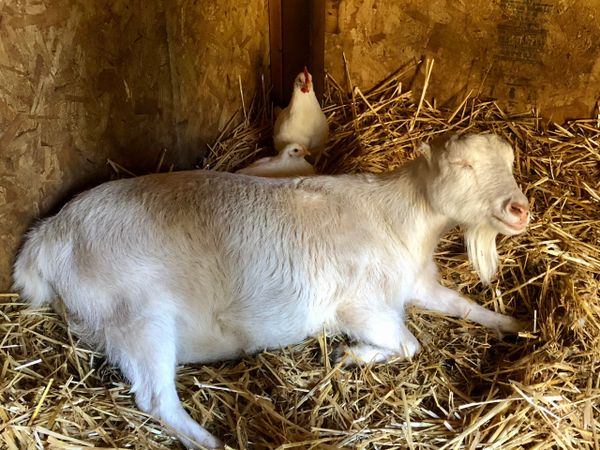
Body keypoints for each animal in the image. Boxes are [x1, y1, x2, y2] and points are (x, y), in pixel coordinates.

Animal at [14, 132, 528, 448]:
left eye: (510, 162)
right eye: (461, 164)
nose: (518, 209)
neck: (398, 217)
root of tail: (47, 238)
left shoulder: (418, 283)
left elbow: (461, 305)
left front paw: (514, 323)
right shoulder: (358, 306)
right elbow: (407, 344)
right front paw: (352, 355)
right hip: (138, 317)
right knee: (155, 398)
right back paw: (213, 443)